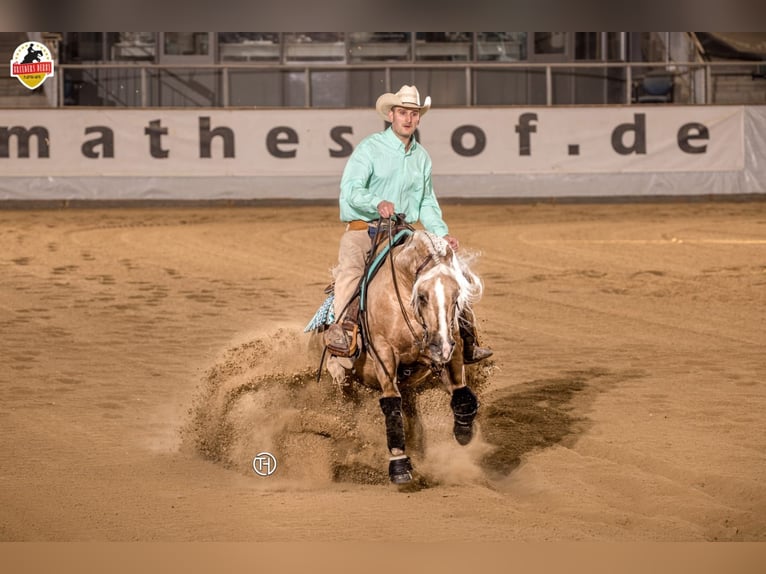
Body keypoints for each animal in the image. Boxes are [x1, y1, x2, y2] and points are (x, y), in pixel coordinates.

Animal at [326, 225, 486, 486]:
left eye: (456, 296)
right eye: (422, 296)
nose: (440, 347)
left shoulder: (453, 345)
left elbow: (463, 395)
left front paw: (464, 431)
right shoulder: (384, 353)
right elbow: (392, 405)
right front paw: (399, 464)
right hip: (341, 377)